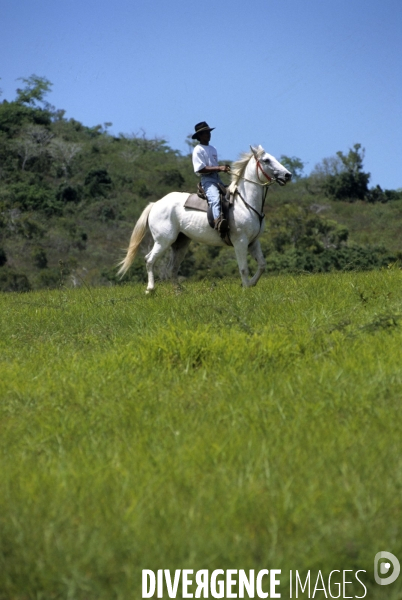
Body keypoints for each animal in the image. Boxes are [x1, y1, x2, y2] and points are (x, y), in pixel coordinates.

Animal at [118, 145, 290, 290]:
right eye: (266, 160)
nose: (288, 175)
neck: (245, 202)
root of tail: (156, 204)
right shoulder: (240, 241)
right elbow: (243, 269)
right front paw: (246, 289)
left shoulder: (253, 242)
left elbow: (262, 265)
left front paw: (251, 284)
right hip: (164, 240)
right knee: (149, 260)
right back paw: (150, 289)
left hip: (180, 244)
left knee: (172, 268)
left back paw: (179, 292)